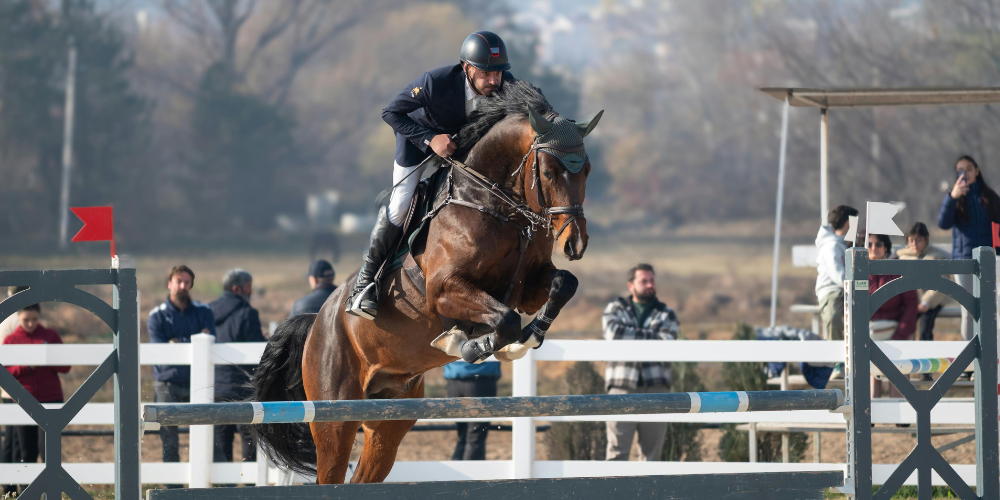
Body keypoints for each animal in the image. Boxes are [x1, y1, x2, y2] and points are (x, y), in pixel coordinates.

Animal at [252, 80, 603, 484]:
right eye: (547, 172)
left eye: (586, 170)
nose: (574, 243)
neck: (494, 205)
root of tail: (315, 324)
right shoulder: (446, 290)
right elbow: (505, 318)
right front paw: (472, 345)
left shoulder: (526, 287)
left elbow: (563, 285)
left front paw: (528, 338)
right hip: (334, 418)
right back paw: (364, 298)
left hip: (389, 420)